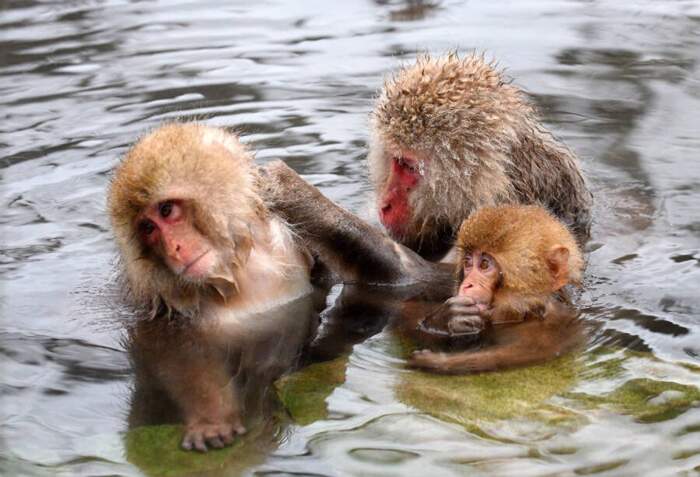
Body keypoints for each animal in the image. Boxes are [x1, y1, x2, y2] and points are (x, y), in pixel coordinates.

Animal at [410, 205, 584, 372]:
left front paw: (437, 360)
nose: (467, 284)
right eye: (468, 262)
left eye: (484, 264)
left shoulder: (544, 334)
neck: (529, 313)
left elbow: (512, 355)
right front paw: (442, 320)